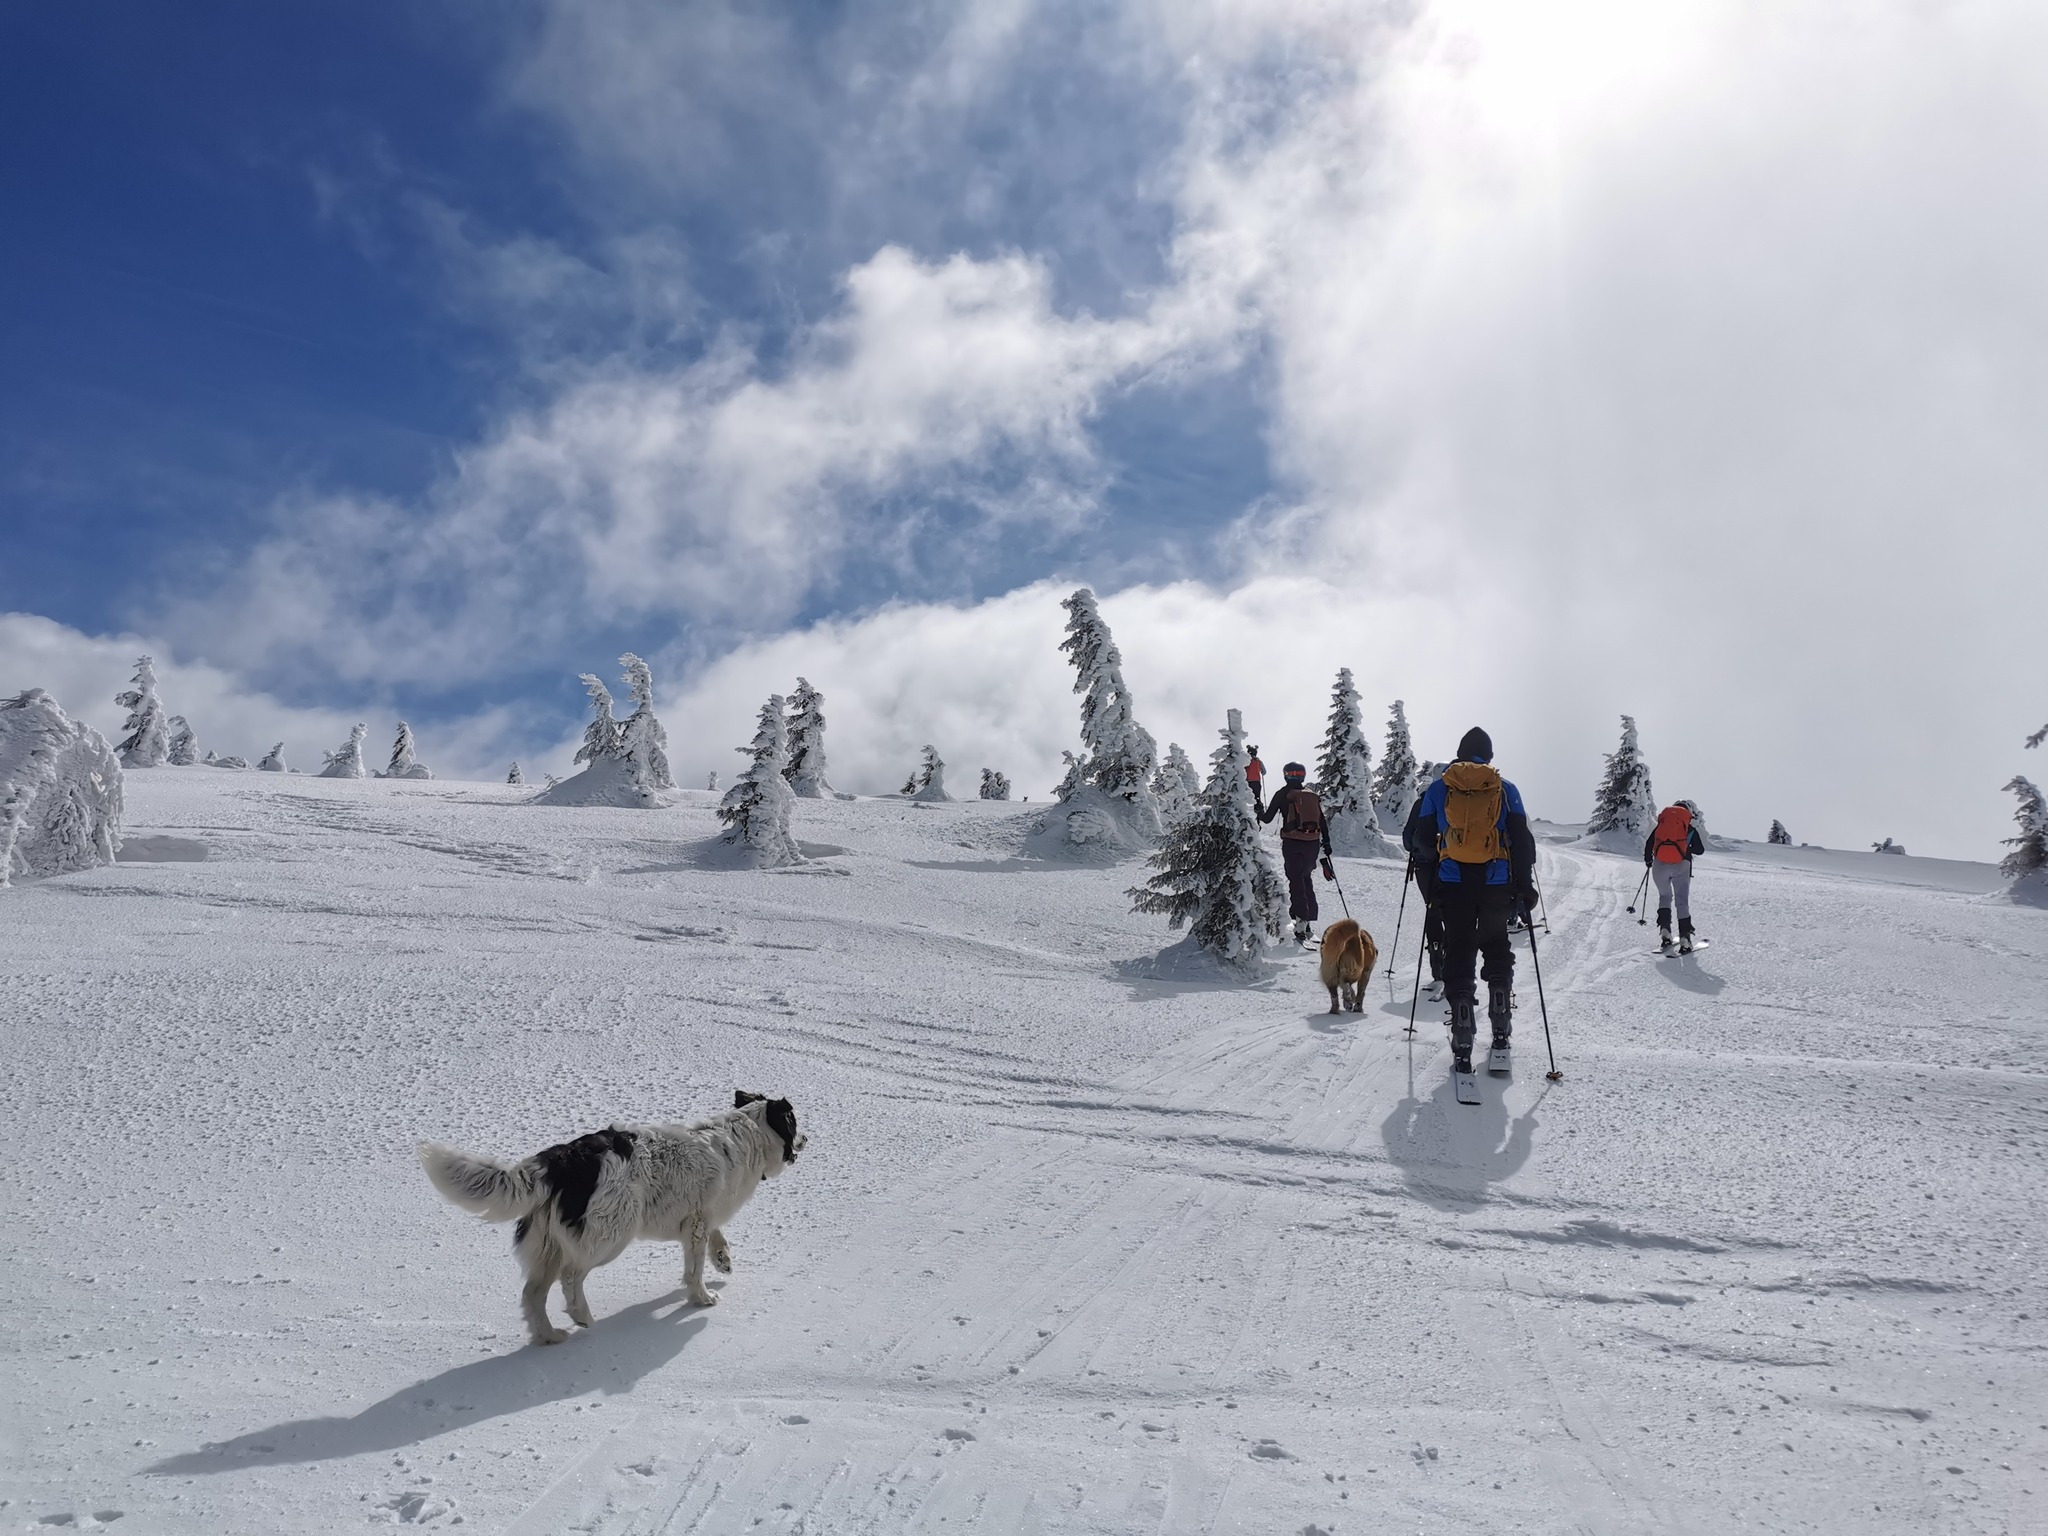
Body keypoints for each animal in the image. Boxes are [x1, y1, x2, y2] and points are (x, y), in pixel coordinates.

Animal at [419, 1097, 802, 1343]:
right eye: (795, 1123)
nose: (807, 1138)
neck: (744, 1134)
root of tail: (562, 1159)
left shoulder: (700, 1219)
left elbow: (714, 1238)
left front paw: (723, 1259)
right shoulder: (696, 1223)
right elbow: (693, 1270)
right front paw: (702, 1299)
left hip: (549, 1244)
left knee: (532, 1293)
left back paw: (549, 1336)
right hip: (609, 1235)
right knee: (570, 1277)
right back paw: (582, 1316)